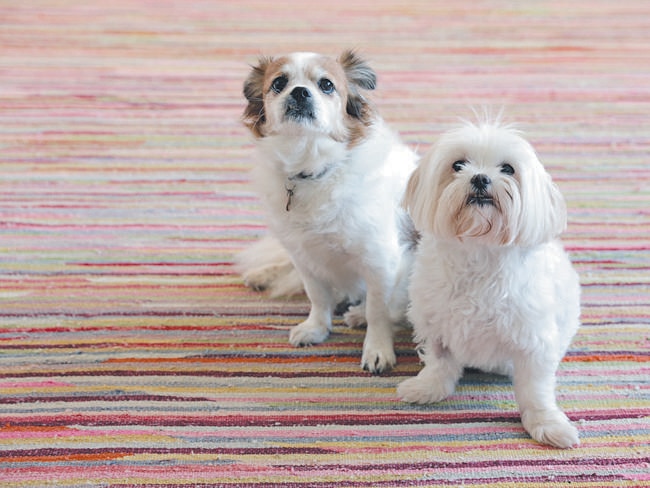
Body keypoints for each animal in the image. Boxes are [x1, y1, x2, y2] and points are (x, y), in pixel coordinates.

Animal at [237, 49, 416, 372]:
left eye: (327, 85)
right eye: (279, 83)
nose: (299, 92)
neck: (312, 168)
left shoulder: (380, 260)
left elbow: (378, 311)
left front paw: (377, 349)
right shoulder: (305, 256)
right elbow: (318, 297)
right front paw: (317, 328)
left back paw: (357, 314)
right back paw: (263, 274)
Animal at [398, 123, 580, 450]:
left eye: (507, 168)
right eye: (458, 165)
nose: (480, 178)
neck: (478, 251)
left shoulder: (534, 340)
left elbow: (535, 390)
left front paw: (547, 424)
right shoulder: (435, 322)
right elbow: (439, 362)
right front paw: (427, 388)